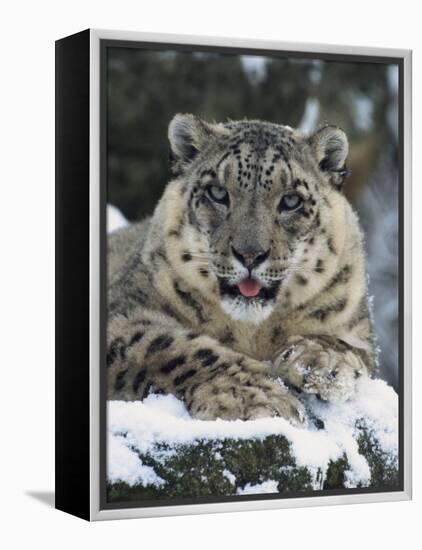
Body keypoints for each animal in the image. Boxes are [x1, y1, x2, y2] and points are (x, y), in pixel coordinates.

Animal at [107, 114, 374, 424]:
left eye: (291, 200)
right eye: (217, 192)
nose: (250, 254)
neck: (252, 332)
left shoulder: (356, 327)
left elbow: (346, 345)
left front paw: (319, 363)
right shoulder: (123, 314)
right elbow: (170, 346)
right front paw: (255, 396)